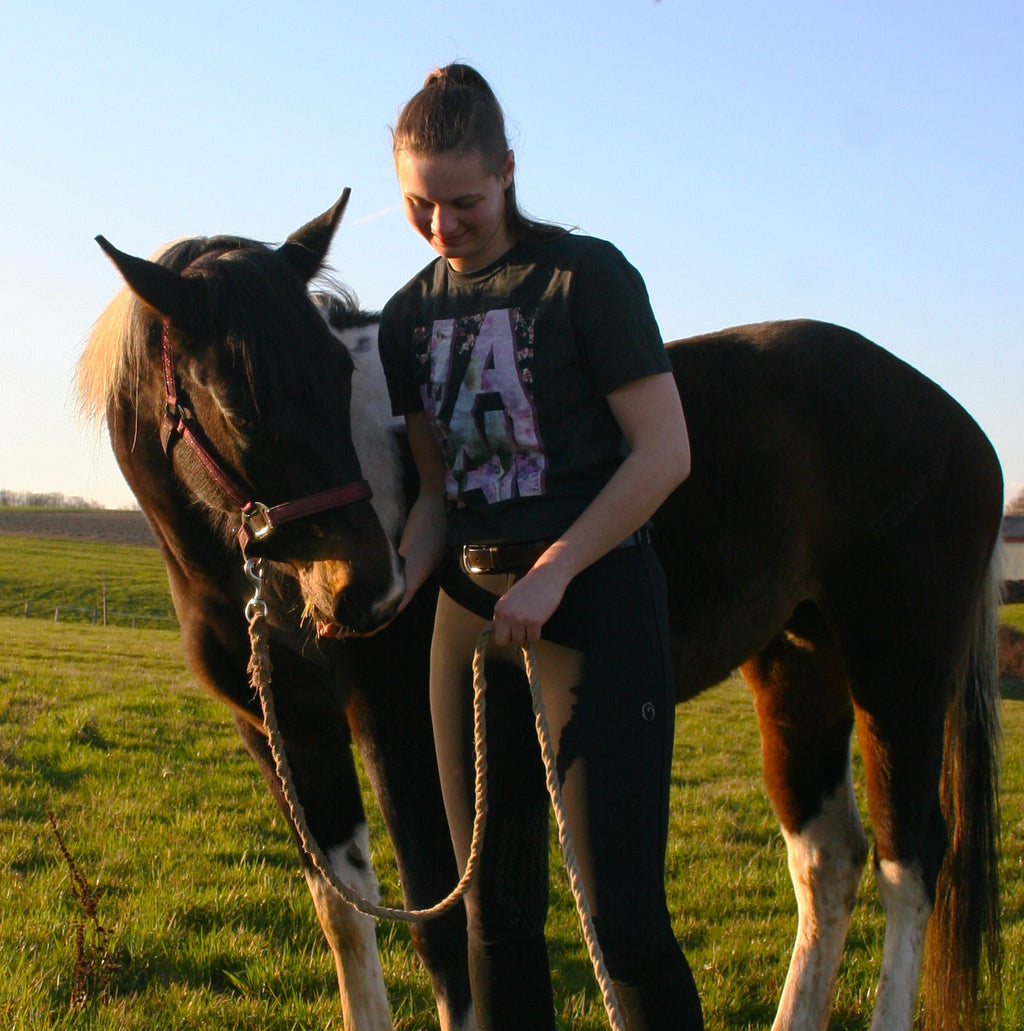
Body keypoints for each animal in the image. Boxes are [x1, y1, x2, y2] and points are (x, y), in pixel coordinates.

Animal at [77, 194, 473, 1031]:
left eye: (341, 367)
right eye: (233, 403)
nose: (372, 587)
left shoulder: (395, 708)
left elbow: (439, 917)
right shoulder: (280, 726)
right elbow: (344, 911)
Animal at [305, 301, 1003, 1030]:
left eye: (328, 375)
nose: (358, 586)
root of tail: (961, 428)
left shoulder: (397, 718)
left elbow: (434, 915)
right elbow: (343, 906)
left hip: (899, 674)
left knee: (911, 862)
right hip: (800, 669)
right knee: (829, 856)